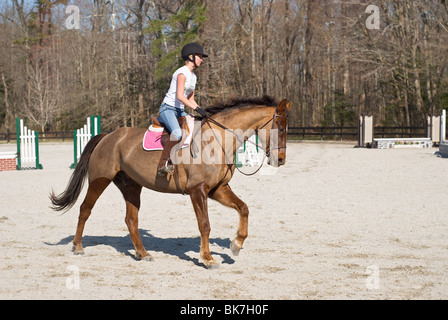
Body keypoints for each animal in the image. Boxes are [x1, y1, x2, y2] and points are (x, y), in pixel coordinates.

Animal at [51, 95, 290, 268]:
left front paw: (236, 244)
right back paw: (78, 247)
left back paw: (143, 253)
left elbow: (243, 208)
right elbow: (204, 224)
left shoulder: (218, 189)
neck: (217, 141)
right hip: (100, 180)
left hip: (131, 186)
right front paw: (208, 258)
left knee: (131, 219)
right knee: (85, 209)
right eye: (280, 127)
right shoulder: (198, 190)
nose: (280, 160)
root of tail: (108, 136)